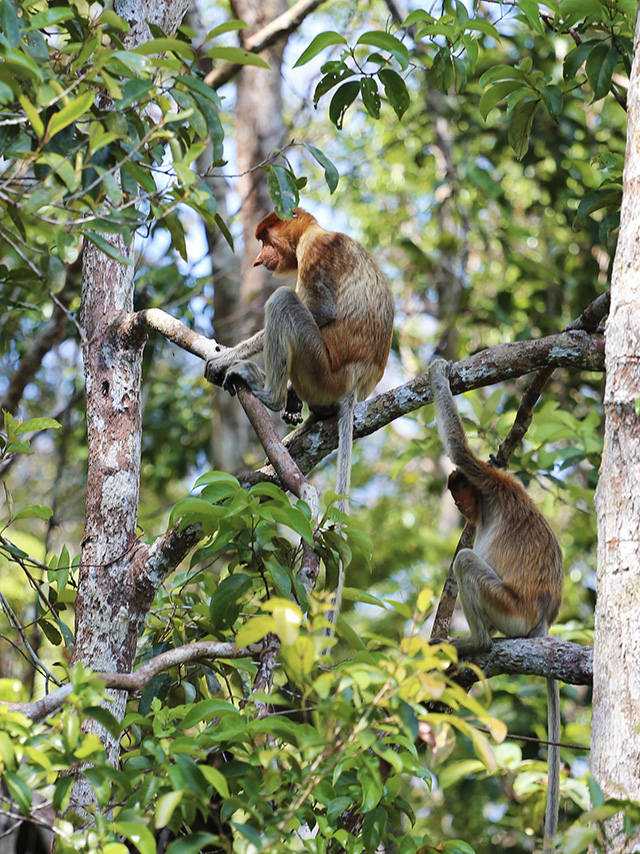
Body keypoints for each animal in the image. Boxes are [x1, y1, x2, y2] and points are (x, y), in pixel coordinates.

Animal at [205, 210, 396, 628]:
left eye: (265, 240)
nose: (258, 260)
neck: (316, 229)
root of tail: (355, 385)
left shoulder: (317, 252)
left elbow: (320, 310)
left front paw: (225, 359)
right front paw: (293, 405)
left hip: (320, 368)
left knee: (284, 301)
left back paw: (270, 393)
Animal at [428, 362, 564, 854]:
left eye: (460, 492)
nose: (457, 505)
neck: (486, 504)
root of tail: (541, 618)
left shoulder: (491, 479)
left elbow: (459, 447)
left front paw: (437, 370)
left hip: (510, 607)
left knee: (468, 562)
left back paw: (477, 643)